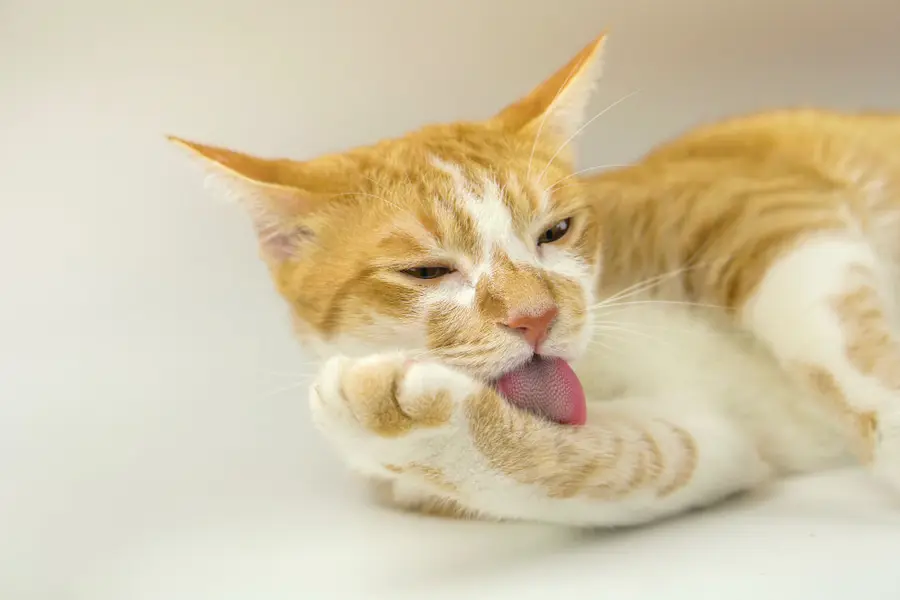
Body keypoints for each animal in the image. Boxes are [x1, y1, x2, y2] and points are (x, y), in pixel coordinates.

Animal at [171, 34, 900, 524]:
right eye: (426, 270)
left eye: (557, 231)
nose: (537, 317)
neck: (601, 354)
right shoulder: (705, 437)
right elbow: (602, 463)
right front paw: (400, 422)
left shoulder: (753, 200)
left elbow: (835, 329)